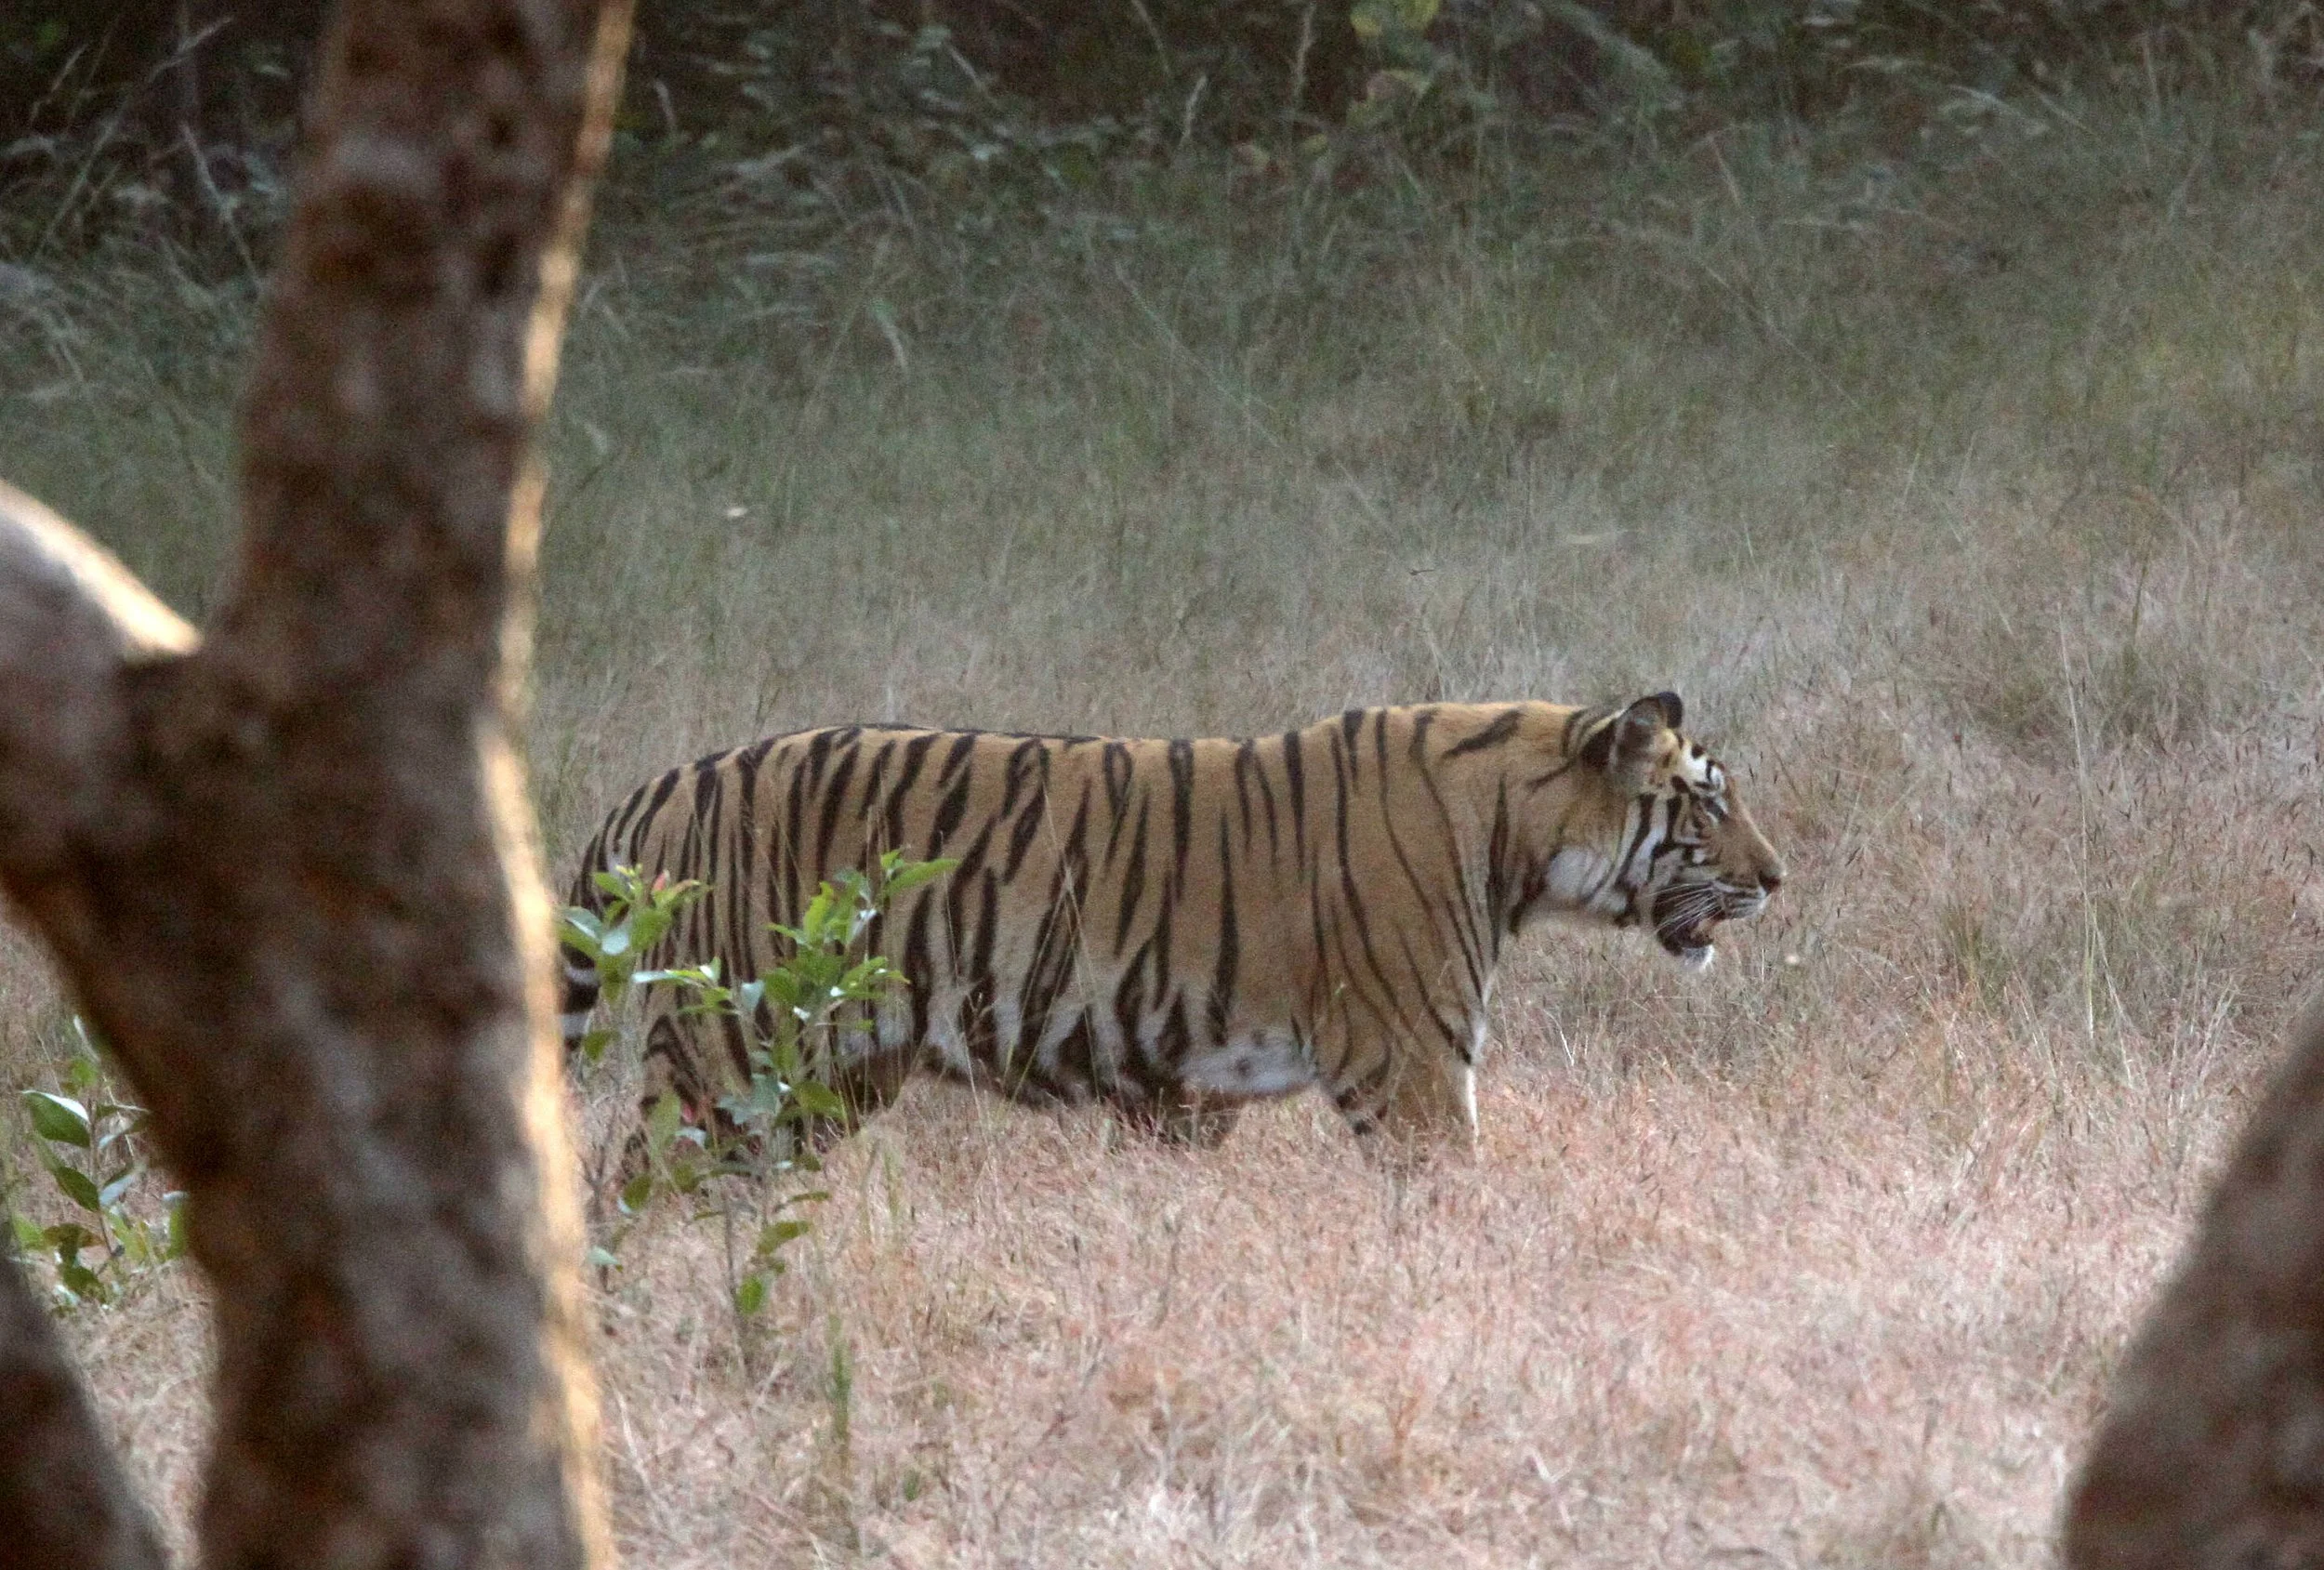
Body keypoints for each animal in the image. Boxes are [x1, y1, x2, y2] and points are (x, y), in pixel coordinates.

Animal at [558, 693, 1783, 1157]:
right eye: (1708, 805)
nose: (1776, 879)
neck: (1514, 833)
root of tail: (655, 787)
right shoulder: (1412, 1068)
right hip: (723, 1056)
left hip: (827, 1082)